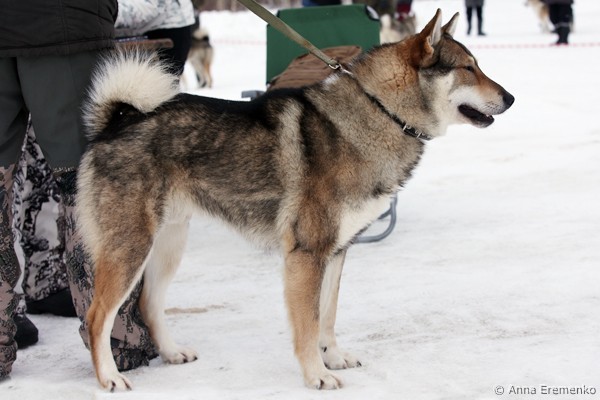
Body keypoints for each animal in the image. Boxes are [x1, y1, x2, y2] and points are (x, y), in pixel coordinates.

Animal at [78, 9, 514, 391]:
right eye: (468, 68)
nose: (510, 98)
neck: (380, 112)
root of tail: (117, 122)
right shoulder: (306, 254)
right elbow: (307, 325)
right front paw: (317, 375)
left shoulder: (337, 251)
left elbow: (328, 317)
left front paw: (333, 357)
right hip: (131, 248)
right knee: (96, 317)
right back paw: (109, 379)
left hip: (167, 246)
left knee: (149, 305)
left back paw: (171, 353)